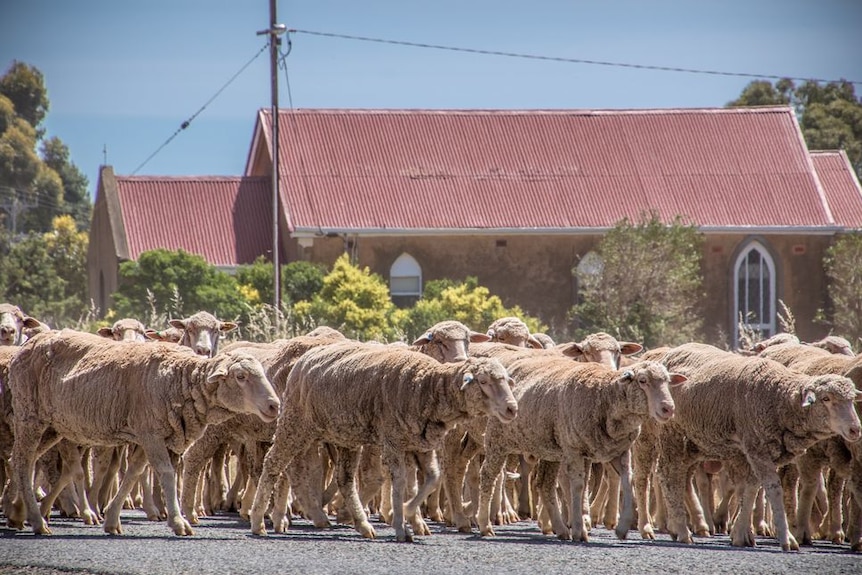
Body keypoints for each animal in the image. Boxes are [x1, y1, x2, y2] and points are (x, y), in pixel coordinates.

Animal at [7, 330, 284, 536]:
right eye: (240, 376)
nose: (275, 406)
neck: (180, 379)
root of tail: (25, 347)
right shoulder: (151, 434)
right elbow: (166, 474)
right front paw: (178, 522)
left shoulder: (151, 436)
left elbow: (133, 473)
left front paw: (112, 520)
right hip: (29, 416)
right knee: (22, 462)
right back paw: (37, 521)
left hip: (52, 426)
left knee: (22, 461)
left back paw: (18, 513)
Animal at [250, 340, 520, 544]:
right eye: (483, 381)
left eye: (506, 381)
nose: (512, 409)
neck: (428, 385)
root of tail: (305, 357)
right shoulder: (393, 440)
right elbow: (399, 482)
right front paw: (402, 526)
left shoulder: (420, 442)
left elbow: (433, 478)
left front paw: (409, 511)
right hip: (295, 422)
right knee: (273, 463)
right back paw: (258, 521)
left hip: (345, 435)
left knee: (345, 480)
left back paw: (362, 525)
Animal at [476, 358, 684, 544]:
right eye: (642, 380)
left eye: (667, 381)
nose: (668, 408)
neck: (605, 397)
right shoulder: (574, 450)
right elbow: (578, 486)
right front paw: (579, 530)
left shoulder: (619, 451)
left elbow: (628, 481)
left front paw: (622, 527)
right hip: (497, 439)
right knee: (488, 476)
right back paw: (485, 525)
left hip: (549, 450)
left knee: (544, 484)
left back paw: (560, 529)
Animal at [652, 346, 860, 552]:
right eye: (826, 398)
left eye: (852, 400)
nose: (855, 429)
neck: (779, 398)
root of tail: (672, 353)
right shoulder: (758, 450)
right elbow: (773, 489)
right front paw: (787, 539)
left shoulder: (756, 453)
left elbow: (751, 488)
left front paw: (741, 534)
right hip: (672, 433)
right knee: (668, 475)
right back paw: (683, 530)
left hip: (694, 443)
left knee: (680, 477)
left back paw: (677, 527)